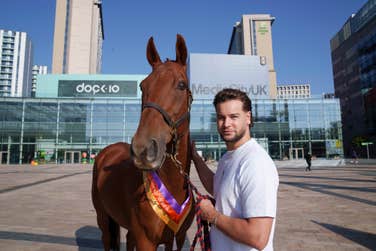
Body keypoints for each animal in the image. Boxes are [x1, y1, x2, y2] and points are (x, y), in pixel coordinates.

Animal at [92, 34, 194, 250]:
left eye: (181, 85)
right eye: (142, 86)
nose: (143, 148)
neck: (172, 184)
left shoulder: (178, 239)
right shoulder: (146, 241)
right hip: (103, 217)